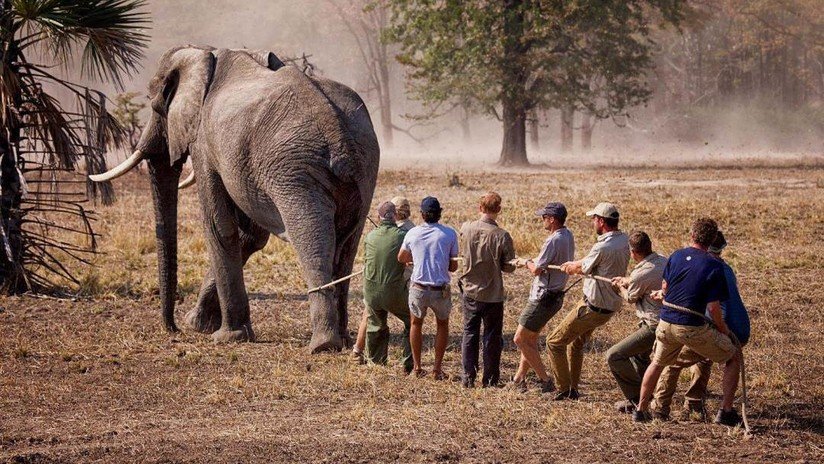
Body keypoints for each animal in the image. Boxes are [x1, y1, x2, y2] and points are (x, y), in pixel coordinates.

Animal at [90, 46, 380, 352]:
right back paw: (344, 339)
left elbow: (219, 226)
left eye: (155, 103)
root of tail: (338, 132)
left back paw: (323, 345)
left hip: (296, 173)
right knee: (347, 244)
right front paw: (198, 324)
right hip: (364, 169)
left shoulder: (204, 142)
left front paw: (226, 336)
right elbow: (250, 236)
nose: (172, 328)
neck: (205, 54)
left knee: (312, 238)